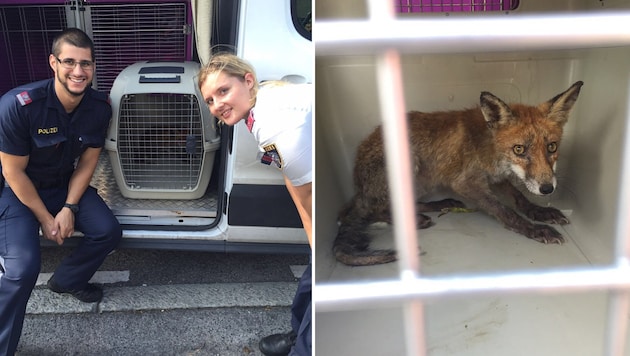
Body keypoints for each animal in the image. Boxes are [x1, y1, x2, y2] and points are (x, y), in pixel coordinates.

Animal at [336, 80, 588, 264]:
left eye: (552, 147)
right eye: (519, 149)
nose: (547, 189)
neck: (492, 150)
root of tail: (359, 189)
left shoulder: (495, 178)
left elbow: (519, 198)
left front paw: (539, 211)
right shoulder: (466, 183)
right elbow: (506, 212)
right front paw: (535, 229)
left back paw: (440, 205)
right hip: (409, 164)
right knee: (375, 211)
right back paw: (415, 220)